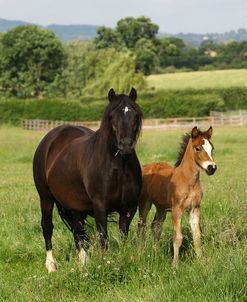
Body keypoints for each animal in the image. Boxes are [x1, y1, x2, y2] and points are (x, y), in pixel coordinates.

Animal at [138, 125, 217, 264]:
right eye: (197, 148)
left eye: (211, 148)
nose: (211, 168)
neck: (189, 181)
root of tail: (147, 167)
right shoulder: (176, 210)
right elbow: (178, 238)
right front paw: (175, 264)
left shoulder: (195, 209)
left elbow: (197, 236)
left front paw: (201, 262)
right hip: (145, 203)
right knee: (141, 226)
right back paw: (141, 250)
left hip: (161, 208)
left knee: (156, 226)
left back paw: (155, 252)